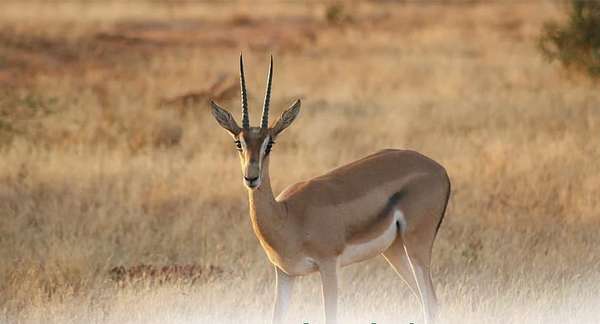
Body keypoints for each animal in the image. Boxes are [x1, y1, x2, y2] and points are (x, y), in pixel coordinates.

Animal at [210, 56, 450, 324]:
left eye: (269, 144)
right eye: (238, 143)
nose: (251, 177)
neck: (287, 217)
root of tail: (439, 169)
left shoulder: (328, 266)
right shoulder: (284, 274)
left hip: (416, 245)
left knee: (431, 301)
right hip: (394, 250)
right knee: (423, 300)